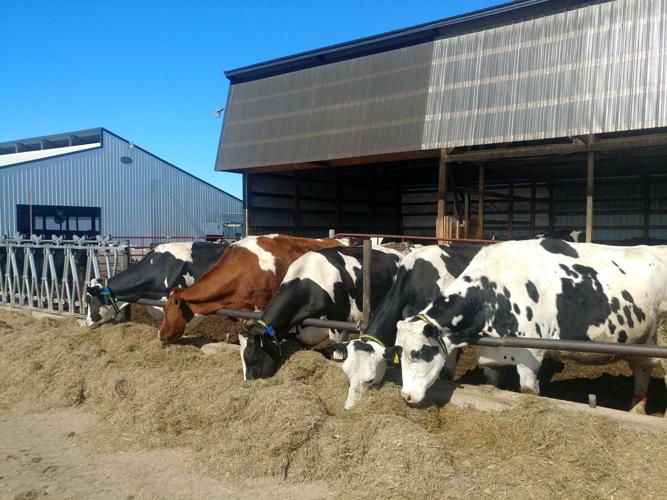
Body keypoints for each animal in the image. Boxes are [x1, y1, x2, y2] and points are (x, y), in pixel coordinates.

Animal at [393, 239, 666, 410]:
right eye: (399, 352)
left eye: (417, 352)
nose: (406, 396)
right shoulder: (491, 356)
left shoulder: (530, 356)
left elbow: (528, 393)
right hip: (643, 339)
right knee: (643, 368)